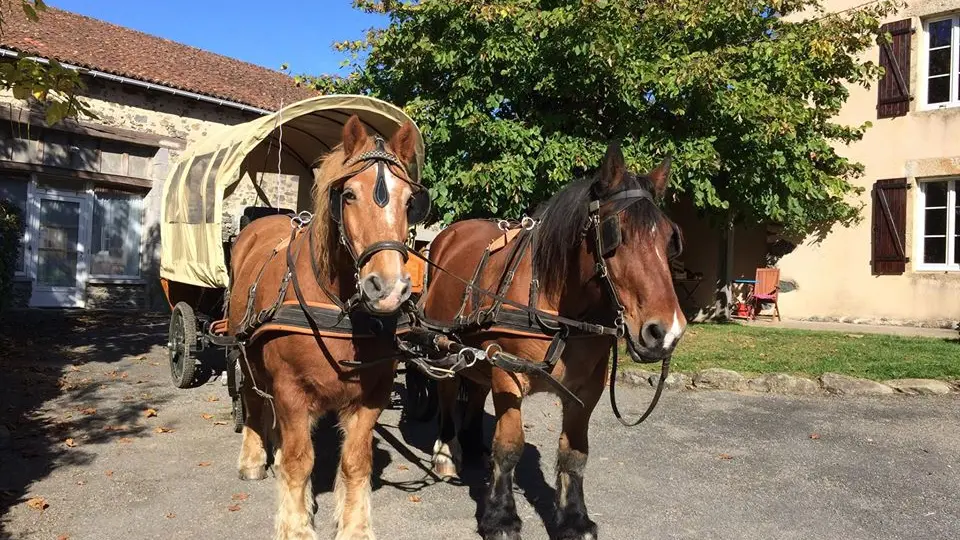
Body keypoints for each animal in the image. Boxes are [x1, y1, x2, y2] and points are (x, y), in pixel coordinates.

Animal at [227, 116, 422, 536]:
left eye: (410, 202)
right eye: (348, 195)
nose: (388, 288)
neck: (338, 308)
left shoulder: (372, 394)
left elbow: (355, 462)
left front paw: (355, 526)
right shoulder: (290, 388)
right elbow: (300, 462)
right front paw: (296, 526)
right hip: (243, 348)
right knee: (252, 399)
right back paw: (253, 458)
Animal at [424, 141, 688, 536]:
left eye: (671, 239)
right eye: (615, 233)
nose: (666, 331)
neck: (556, 304)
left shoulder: (587, 388)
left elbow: (574, 452)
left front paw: (574, 518)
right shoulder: (507, 371)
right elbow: (509, 446)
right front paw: (500, 516)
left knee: (475, 389)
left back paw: (473, 446)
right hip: (444, 346)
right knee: (446, 391)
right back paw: (445, 453)